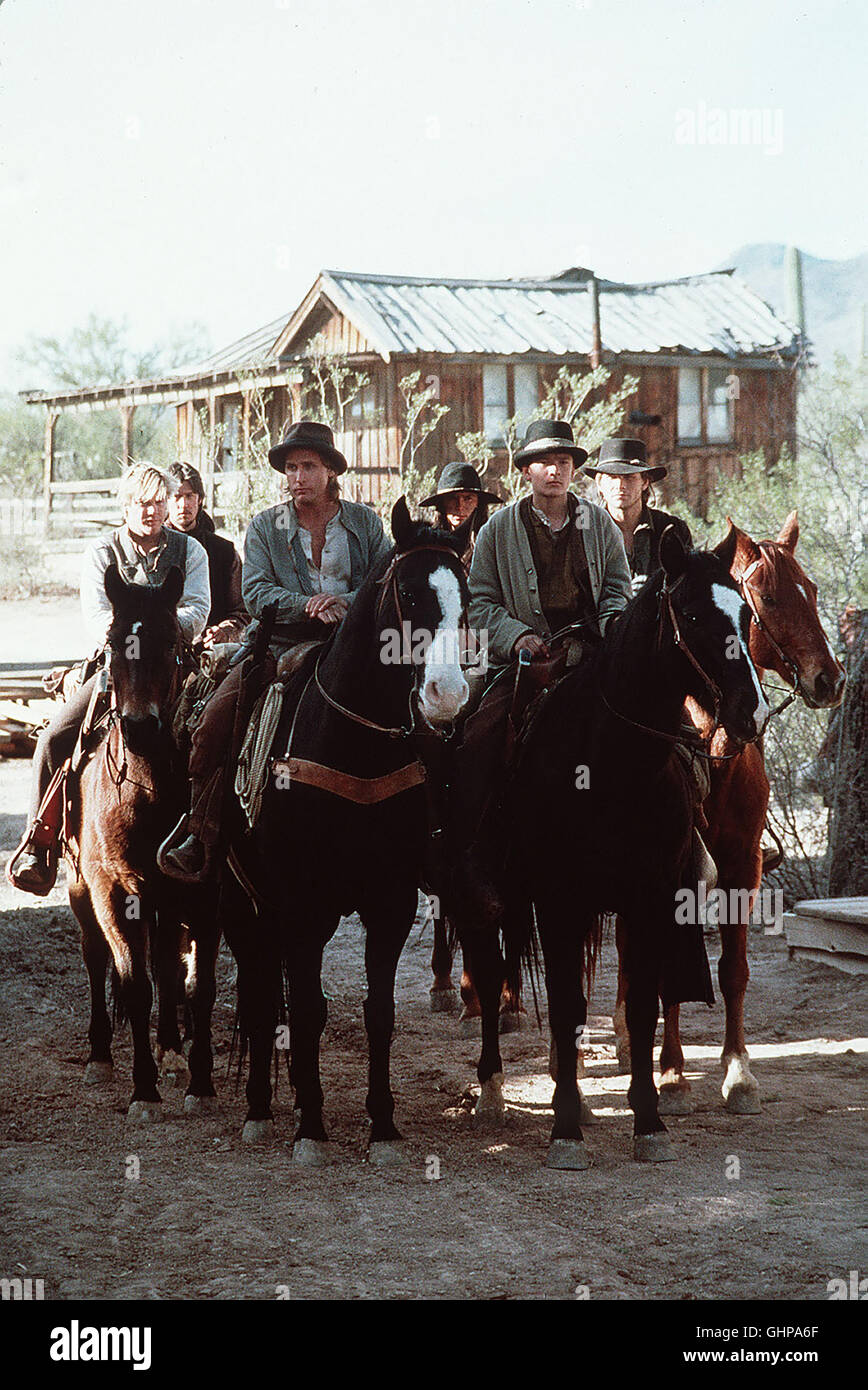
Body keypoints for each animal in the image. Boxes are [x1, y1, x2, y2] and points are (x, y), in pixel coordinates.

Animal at [219, 500, 470, 1162]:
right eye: (408, 592)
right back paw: (259, 1109)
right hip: (240, 903)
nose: (446, 694)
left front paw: (383, 1126)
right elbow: (306, 1010)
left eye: (465, 594)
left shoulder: (390, 903)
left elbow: (377, 1010)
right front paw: (310, 1126)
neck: (352, 748)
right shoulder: (302, 904)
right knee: (259, 995)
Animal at [450, 525, 767, 1167]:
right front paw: (565, 1130)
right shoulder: (558, 901)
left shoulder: (652, 897)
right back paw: (492, 1089)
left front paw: (648, 1120)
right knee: (489, 978)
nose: (750, 710)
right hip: (482, 903)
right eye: (691, 613)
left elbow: (643, 1005)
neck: (609, 761)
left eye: (745, 614)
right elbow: (567, 1003)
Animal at [617, 505, 845, 1112]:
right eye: (765, 598)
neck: (711, 753)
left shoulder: (743, 863)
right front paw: (671, 1073)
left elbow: (734, 969)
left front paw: (739, 1072)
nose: (830, 680)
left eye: (812, 589)